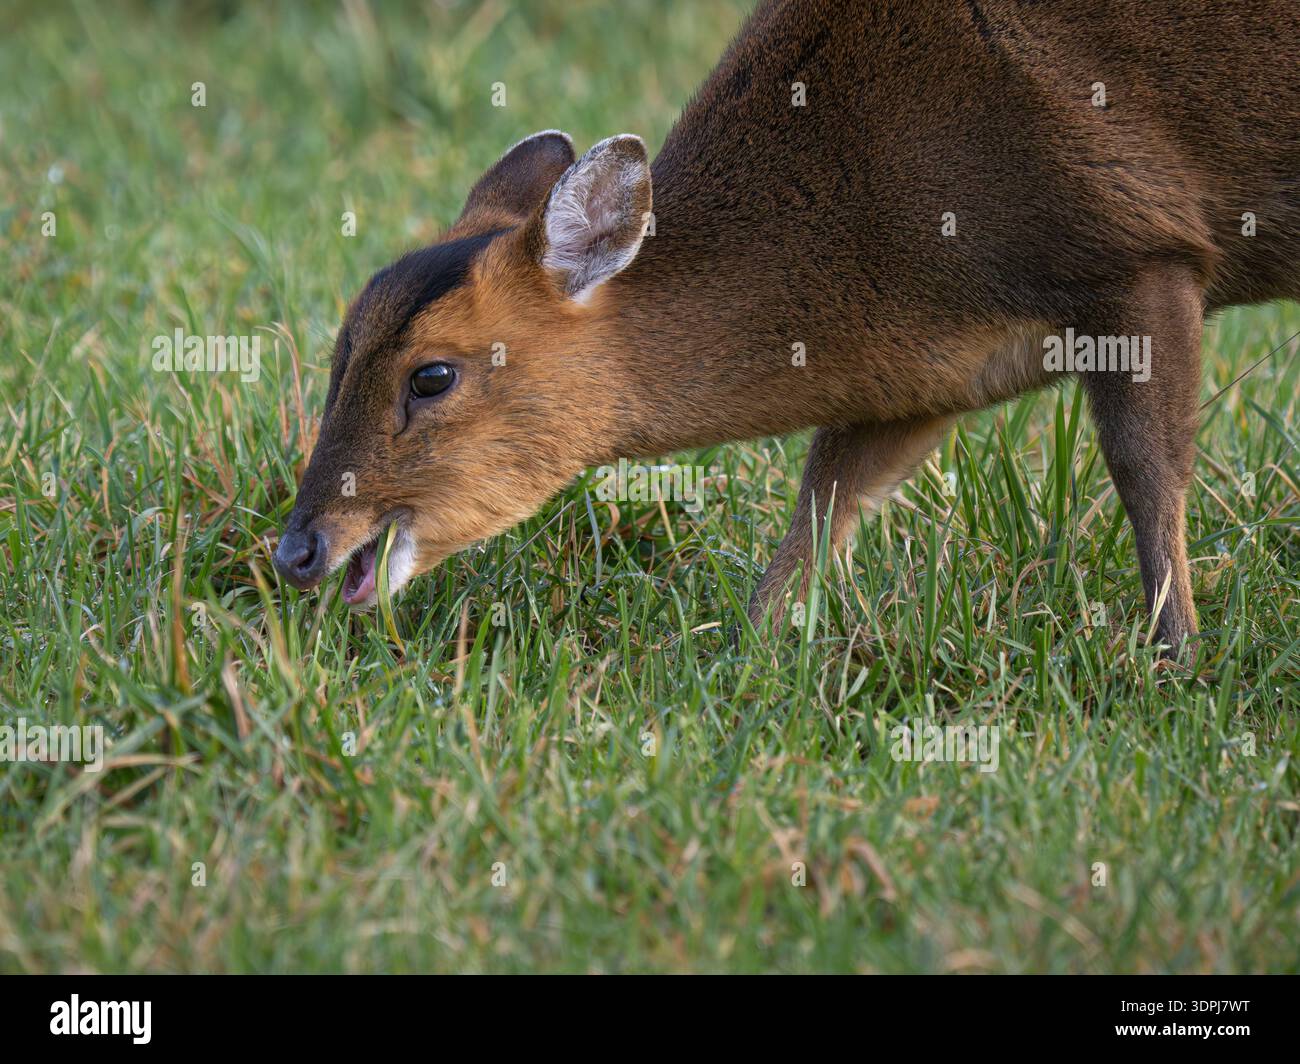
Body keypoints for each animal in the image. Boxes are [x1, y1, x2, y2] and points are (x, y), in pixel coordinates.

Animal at [273, 0, 1300, 655]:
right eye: (339, 351)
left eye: (432, 375)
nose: (296, 550)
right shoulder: (925, 377)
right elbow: (828, 497)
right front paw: (748, 653)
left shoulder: (1142, 252)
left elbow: (1148, 471)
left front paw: (1175, 660)